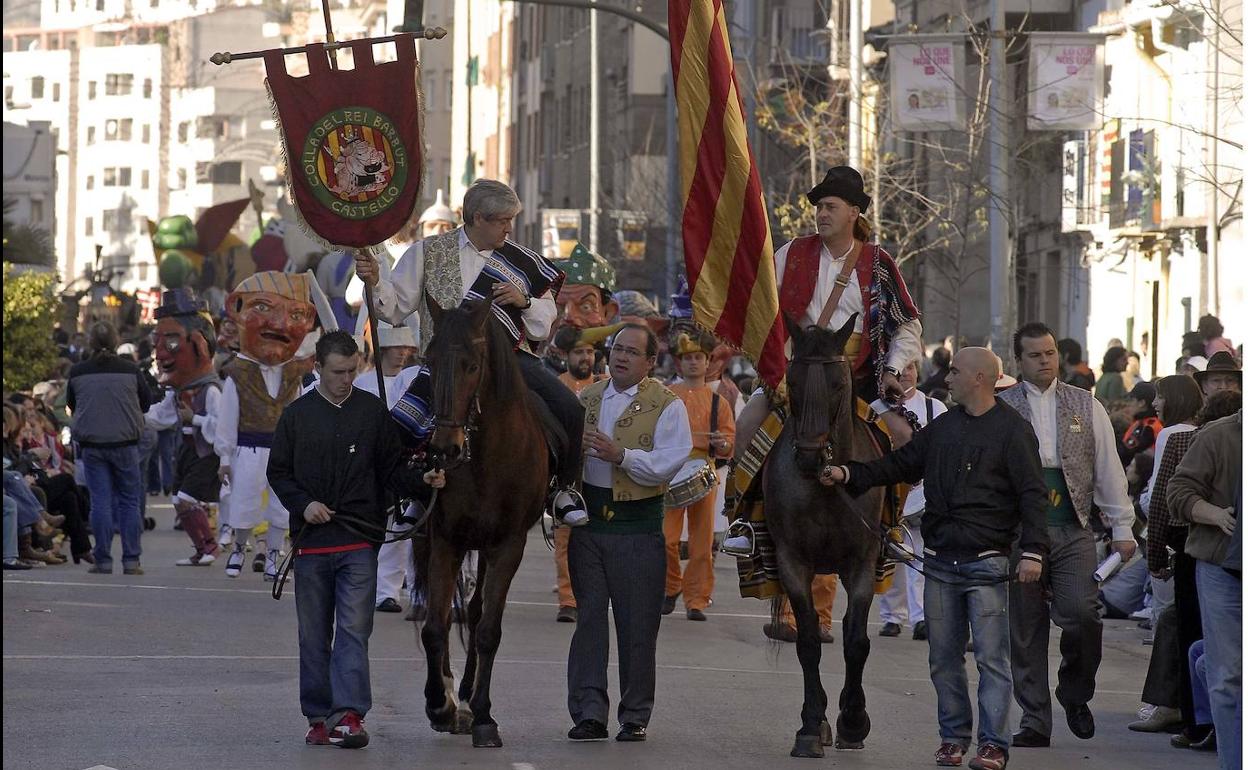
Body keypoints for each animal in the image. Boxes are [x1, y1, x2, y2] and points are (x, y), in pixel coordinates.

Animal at [421, 297, 549, 748]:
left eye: (472, 365)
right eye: (429, 360)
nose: (444, 449)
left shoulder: (508, 545)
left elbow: (489, 630)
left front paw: (483, 716)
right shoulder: (445, 539)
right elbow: (435, 626)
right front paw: (439, 706)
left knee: (477, 616)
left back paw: (468, 695)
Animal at [758, 311, 888, 758]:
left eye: (837, 385)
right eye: (793, 382)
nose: (811, 456)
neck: (828, 485)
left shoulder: (862, 562)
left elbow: (857, 641)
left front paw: (853, 721)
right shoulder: (794, 562)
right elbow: (809, 641)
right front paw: (811, 726)